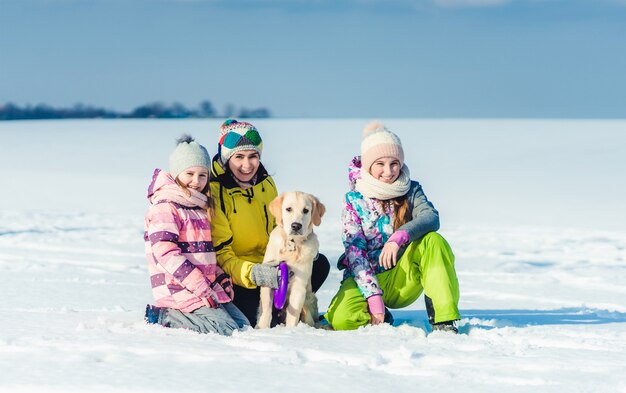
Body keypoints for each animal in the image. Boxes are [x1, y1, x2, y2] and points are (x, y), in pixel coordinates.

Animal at [255, 190, 324, 328]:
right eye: (288, 209)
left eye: (306, 210)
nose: (296, 226)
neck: (292, 245)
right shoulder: (268, 279)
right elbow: (267, 311)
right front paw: (263, 328)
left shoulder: (299, 285)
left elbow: (293, 314)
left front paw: (290, 331)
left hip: (308, 301)